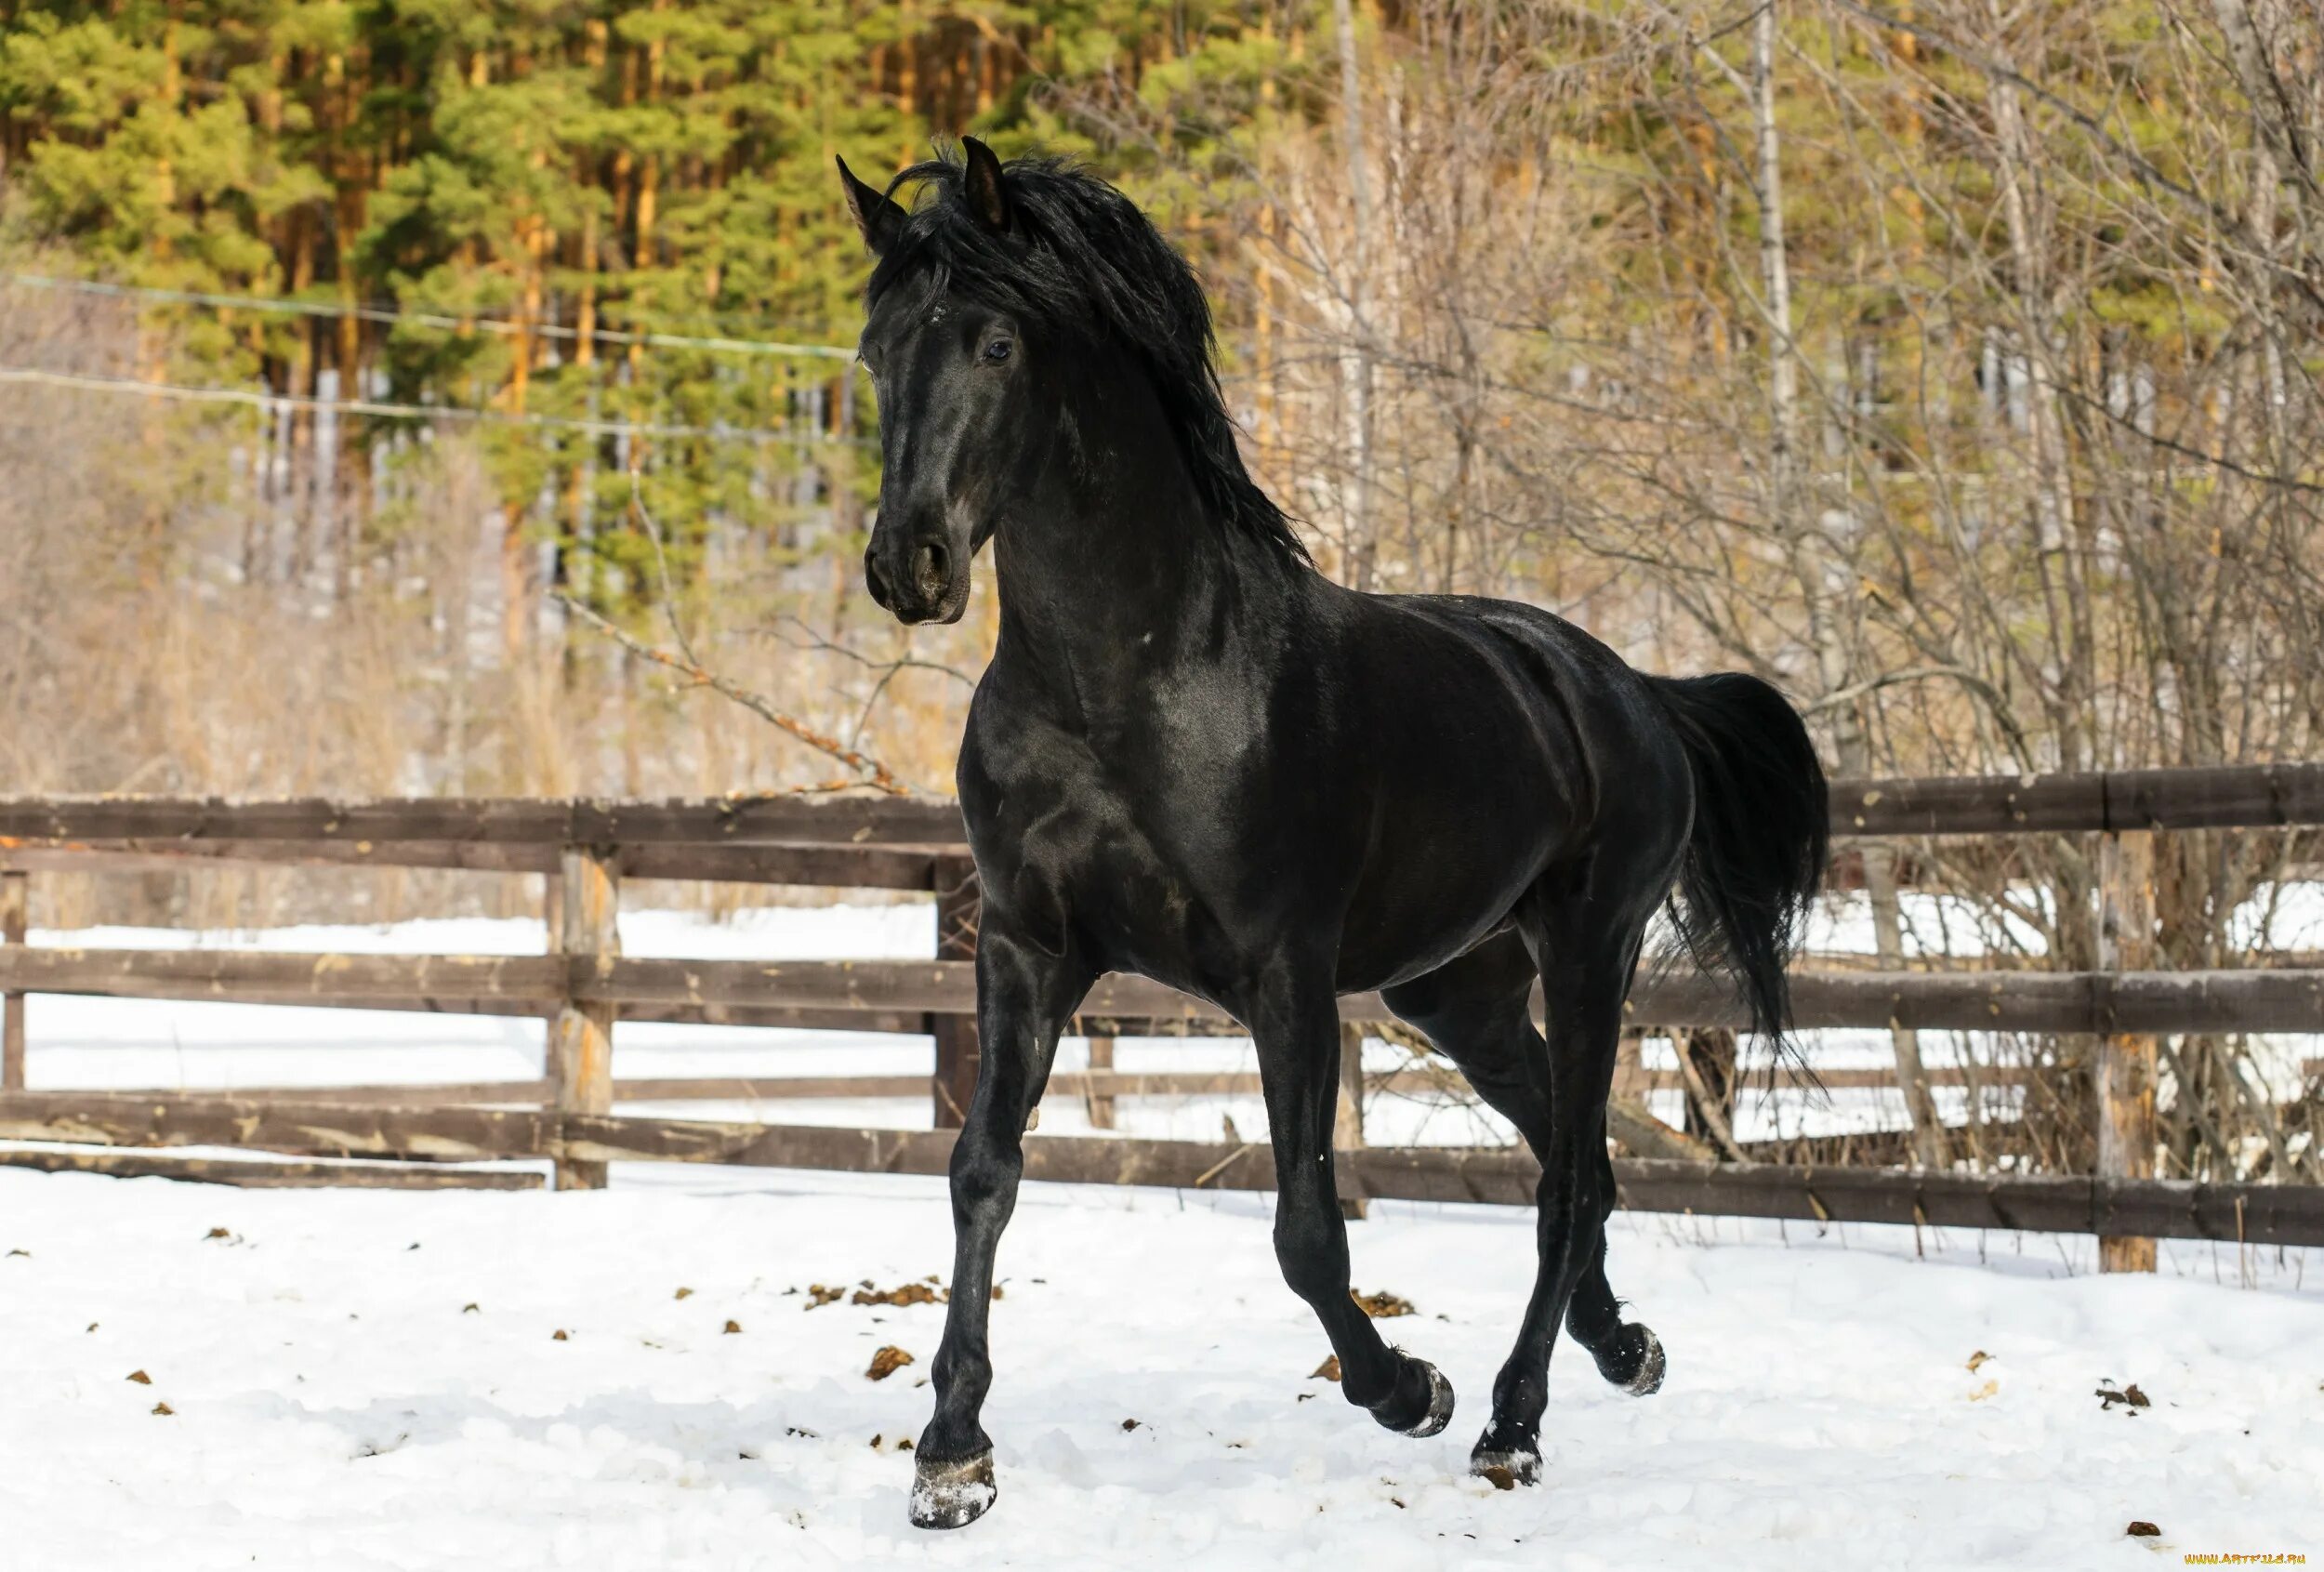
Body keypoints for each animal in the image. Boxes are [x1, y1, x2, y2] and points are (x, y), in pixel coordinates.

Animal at [837, 140, 1831, 1525]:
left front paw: (1411, 1387)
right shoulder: (1027, 949)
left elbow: (1308, 1222)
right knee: (1575, 1157)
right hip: (1455, 989)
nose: (911, 564)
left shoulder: (1285, 972)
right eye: (876, 351)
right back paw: (1626, 1348)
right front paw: (951, 1455)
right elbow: (982, 1170)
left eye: (993, 343)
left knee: (1567, 1178)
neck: (1131, 683)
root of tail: (1630, 688)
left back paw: (1511, 1421)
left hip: (1593, 947)